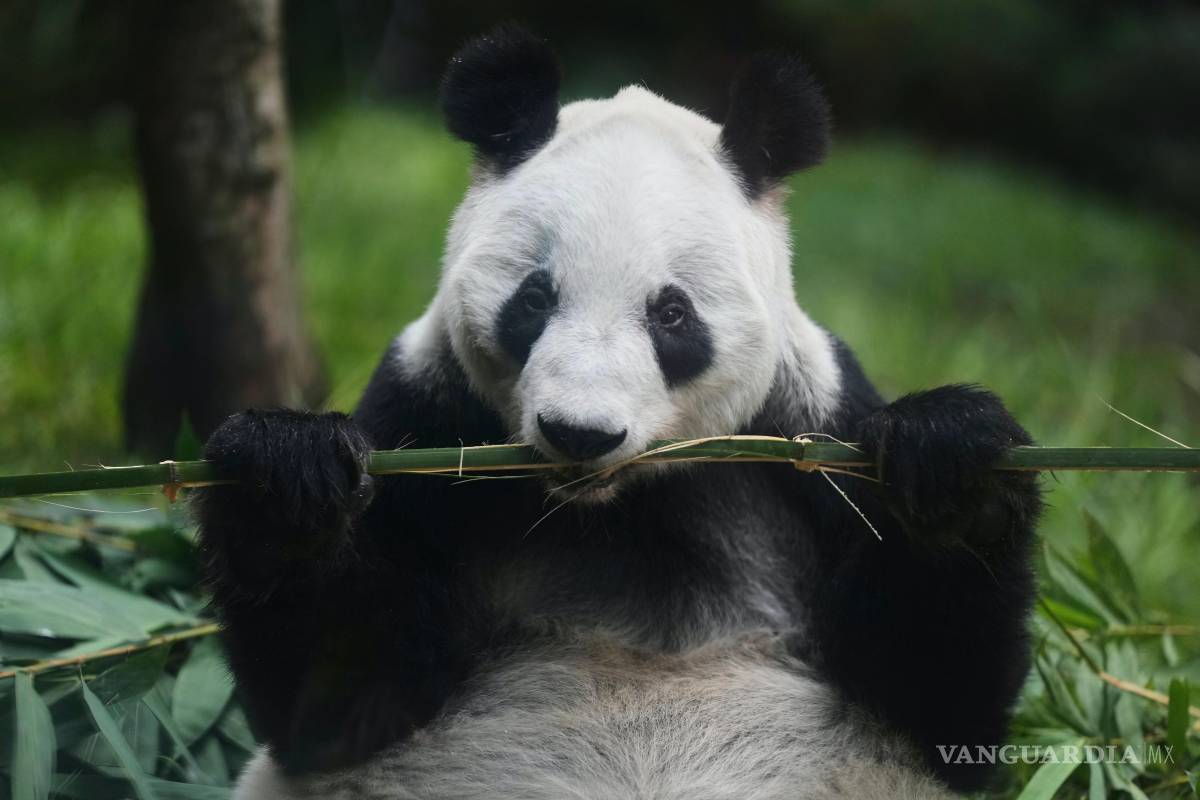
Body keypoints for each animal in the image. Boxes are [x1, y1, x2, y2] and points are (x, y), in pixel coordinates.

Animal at [194, 26, 1042, 800]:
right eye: (533, 300)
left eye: (672, 315)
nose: (579, 432)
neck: (614, 509)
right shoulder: (425, 422)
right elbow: (341, 700)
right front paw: (287, 477)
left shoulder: (812, 433)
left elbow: (935, 696)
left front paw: (950, 466)